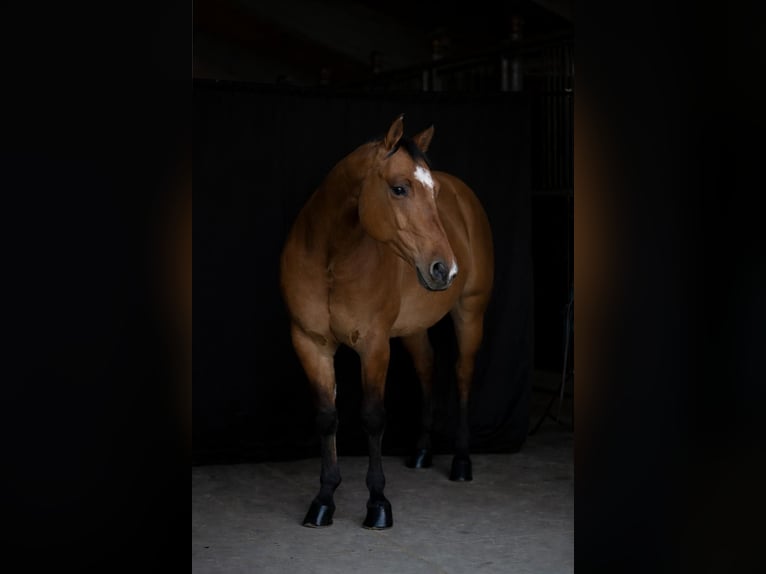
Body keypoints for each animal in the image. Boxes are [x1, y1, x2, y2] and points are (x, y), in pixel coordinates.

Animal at [279, 114, 494, 529]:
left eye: (434, 192)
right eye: (399, 188)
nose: (446, 269)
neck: (331, 260)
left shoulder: (374, 346)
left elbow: (373, 417)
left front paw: (378, 504)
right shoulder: (310, 343)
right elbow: (327, 417)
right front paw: (324, 500)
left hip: (470, 312)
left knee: (462, 374)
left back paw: (461, 461)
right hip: (413, 328)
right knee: (427, 368)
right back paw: (422, 452)